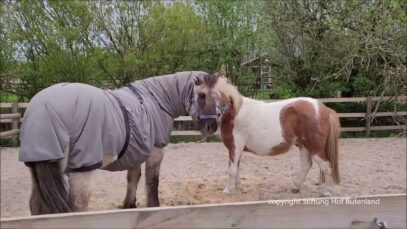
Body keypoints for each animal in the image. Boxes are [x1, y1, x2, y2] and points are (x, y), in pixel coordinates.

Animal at [19, 70, 220, 214]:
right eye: (202, 95)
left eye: (218, 96)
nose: (211, 126)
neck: (156, 100)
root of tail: (42, 107)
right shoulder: (155, 151)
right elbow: (152, 182)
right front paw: (153, 206)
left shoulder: (136, 150)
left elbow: (133, 178)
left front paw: (128, 205)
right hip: (81, 171)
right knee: (76, 208)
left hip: (36, 169)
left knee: (36, 206)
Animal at [214, 77, 342, 197]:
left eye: (226, 96)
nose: (218, 114)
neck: (235, 113)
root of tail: (325, 109)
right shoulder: (237, 149)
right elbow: (237, 168)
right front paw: (236, 187)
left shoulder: (235, 147)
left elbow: (231, 169)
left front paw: (228, 190)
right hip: (304, 145)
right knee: (306, 165)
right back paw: (296, 188)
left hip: (315, 148)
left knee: (326, 166)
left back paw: (327, 192)